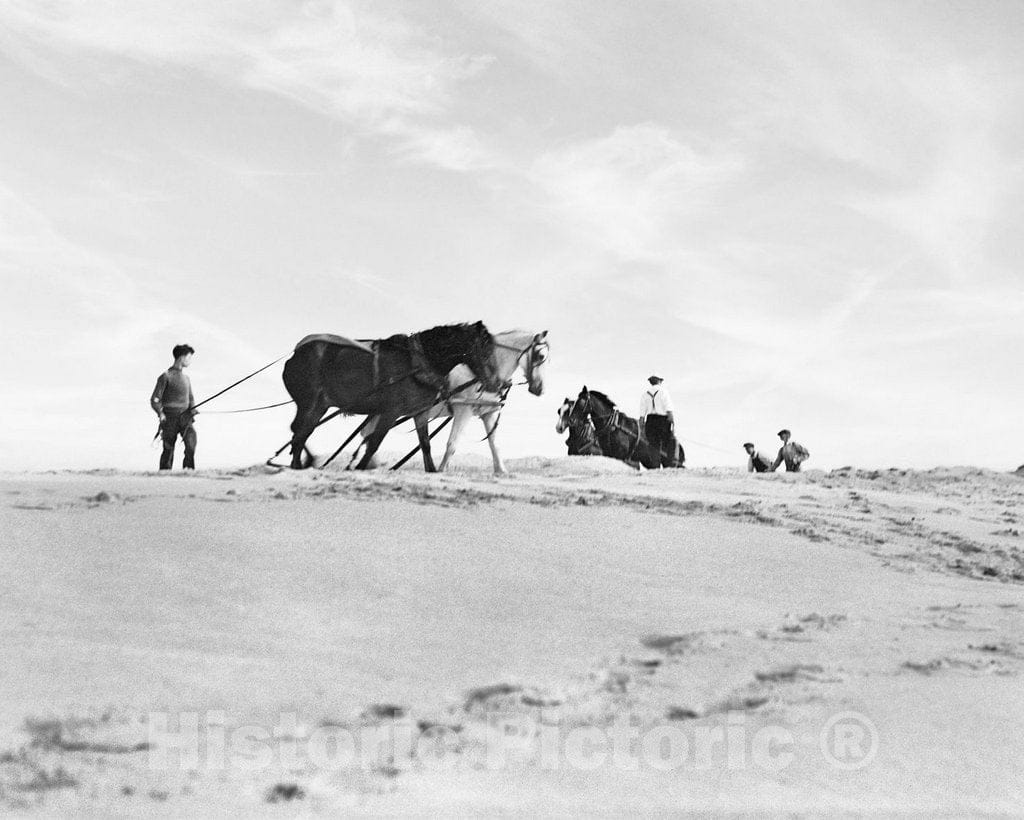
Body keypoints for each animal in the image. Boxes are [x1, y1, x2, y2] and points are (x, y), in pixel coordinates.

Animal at [280, 323, 499, 470]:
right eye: (485, 351)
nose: (496, 383)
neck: (419, 364)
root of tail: (293, 357)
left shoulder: (420, 412)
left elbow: (425, 445)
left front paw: (431, 470)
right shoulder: (390, 411)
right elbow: (374, 443)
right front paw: (360, 467)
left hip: (319, 405)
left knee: (301, 431)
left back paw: (301, 462)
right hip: (309, 402)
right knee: (300, 431)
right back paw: (300, 463)